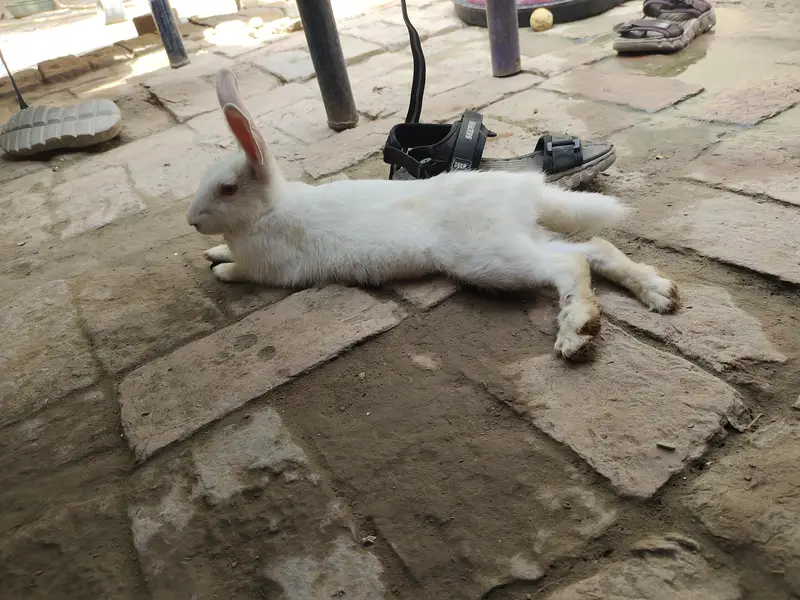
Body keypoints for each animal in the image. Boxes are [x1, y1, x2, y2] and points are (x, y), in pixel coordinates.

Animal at [187, 68, 679, 360]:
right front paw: (213, 253)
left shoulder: (266, 268)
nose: (192, 221)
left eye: (227, 189)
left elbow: (241, 272)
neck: (268, 210)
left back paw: (577, 332)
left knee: (569, 263)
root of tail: (526, 191)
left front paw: (221, 269)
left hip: (488, 257)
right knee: (595, 248)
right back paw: (659, 293)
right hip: (522, 238)